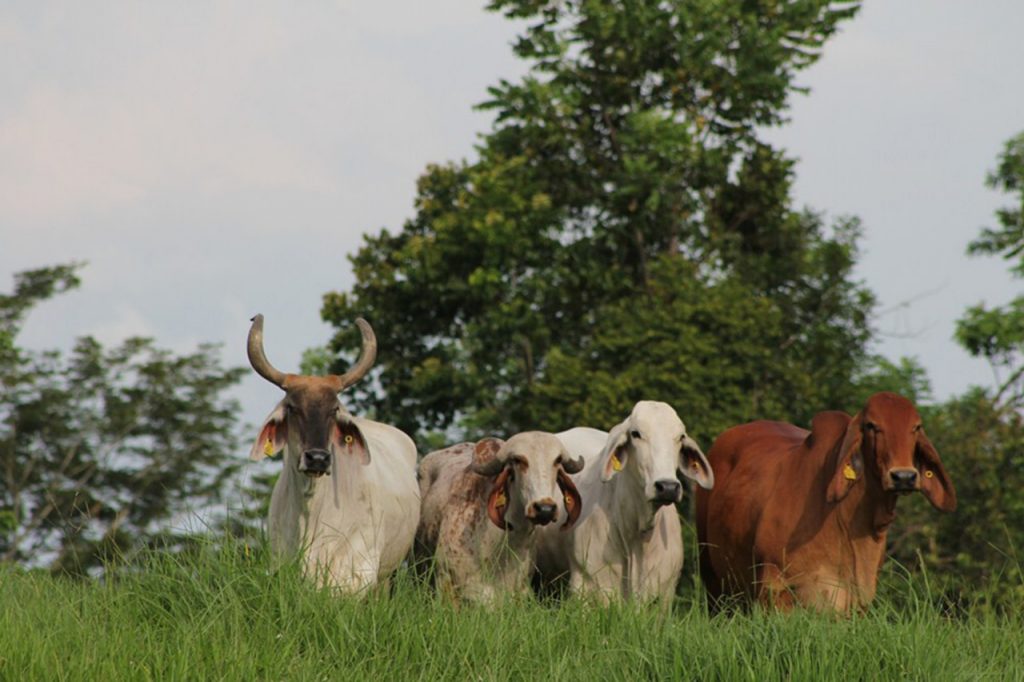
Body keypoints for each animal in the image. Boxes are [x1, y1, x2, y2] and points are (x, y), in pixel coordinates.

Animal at [536, 399, 712, 602]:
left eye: (681, 437)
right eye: (636, 434)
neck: (636, 537)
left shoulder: (664, 594)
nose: (667, 487)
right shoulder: (585, 585)